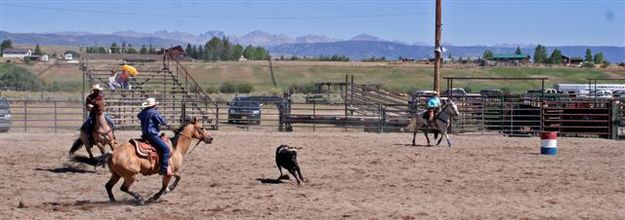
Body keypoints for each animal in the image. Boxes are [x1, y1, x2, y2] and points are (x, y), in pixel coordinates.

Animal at [72, 117, 213, 204]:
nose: (210, 138)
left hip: (116, 174)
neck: (175, 148)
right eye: (201, 128)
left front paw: (164, 192)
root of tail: (112, 153)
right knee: (124, 188)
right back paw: (140, 199)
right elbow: (172, 181)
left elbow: (175, 179)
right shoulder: (168, 172)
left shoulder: (171, 172)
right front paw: (157, 195)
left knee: (108, 186)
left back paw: (113, 200)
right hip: (131, 175)